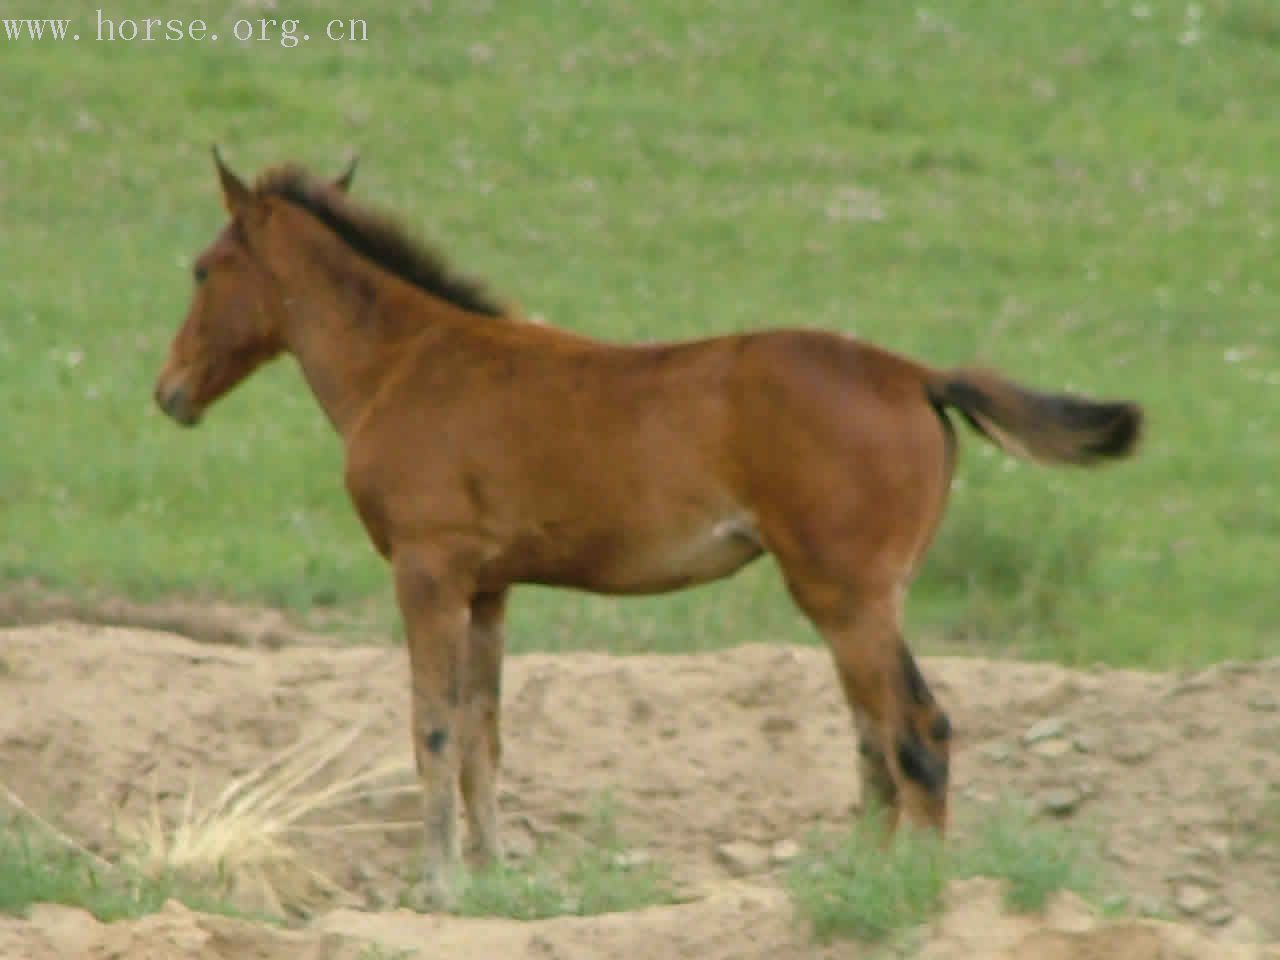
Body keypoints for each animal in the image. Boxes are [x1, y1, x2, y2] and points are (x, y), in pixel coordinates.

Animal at [154, 148, 1146, 901]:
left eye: (203, 268)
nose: (169, 392)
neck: (408, 362)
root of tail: (914, 374)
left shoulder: (426, 571)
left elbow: (432, 725)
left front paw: (436, 885)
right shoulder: (490, 587)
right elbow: (482, 734)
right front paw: (493, 876)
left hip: (848, 597)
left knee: (917, 738)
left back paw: (911, 897)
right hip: (856, 604)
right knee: (876, 744)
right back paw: (854, 884)